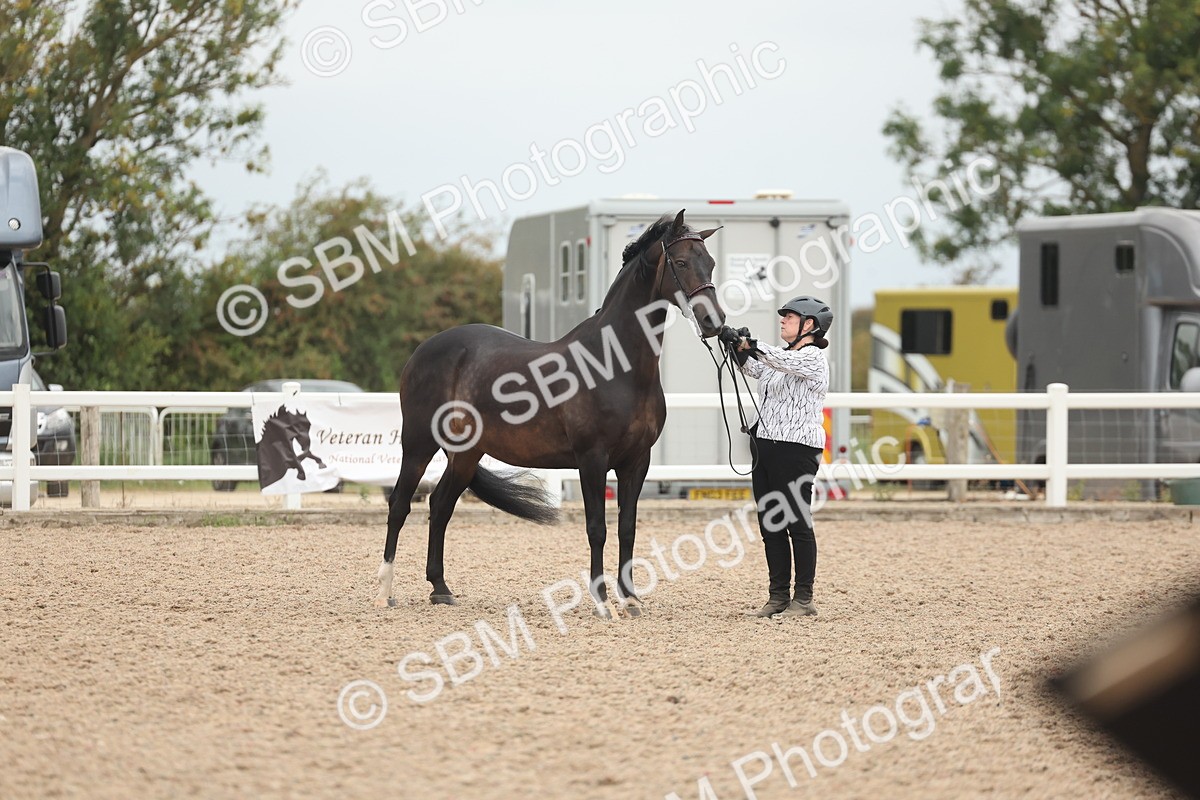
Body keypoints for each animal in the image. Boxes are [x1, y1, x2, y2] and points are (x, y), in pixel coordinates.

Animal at [375, 209, 726, 618]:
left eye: (710, 263)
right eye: (681, 263)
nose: (713, 322)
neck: (615, 366)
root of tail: (424, 350)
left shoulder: (637, 461)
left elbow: (627, 527)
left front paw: (631, 599)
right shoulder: (592, 459)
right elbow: (597, 528)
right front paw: (602, 602)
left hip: (465, 454)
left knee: (441, 505)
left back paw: (441, 589)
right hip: (418, 444)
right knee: (399, 505)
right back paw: (384, 591)